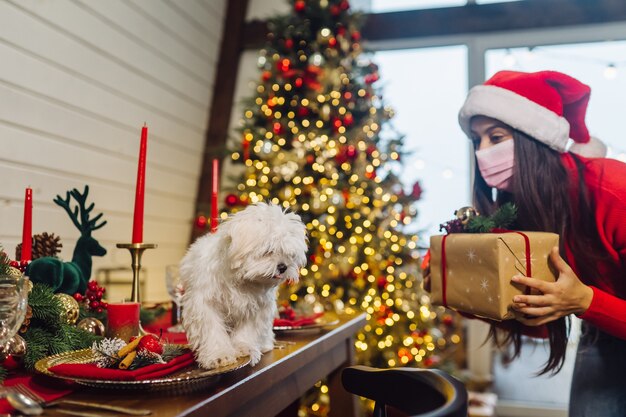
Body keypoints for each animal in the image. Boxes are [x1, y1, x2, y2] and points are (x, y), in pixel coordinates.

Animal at [179, 202, 306, 368]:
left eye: (290, 255)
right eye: (269, 250)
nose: (283, 267)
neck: (242, 279)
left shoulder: (256, 307)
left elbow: (247, 331)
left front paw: (243, 348)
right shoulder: (204, 304)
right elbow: (212, 330)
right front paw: (219, 355)